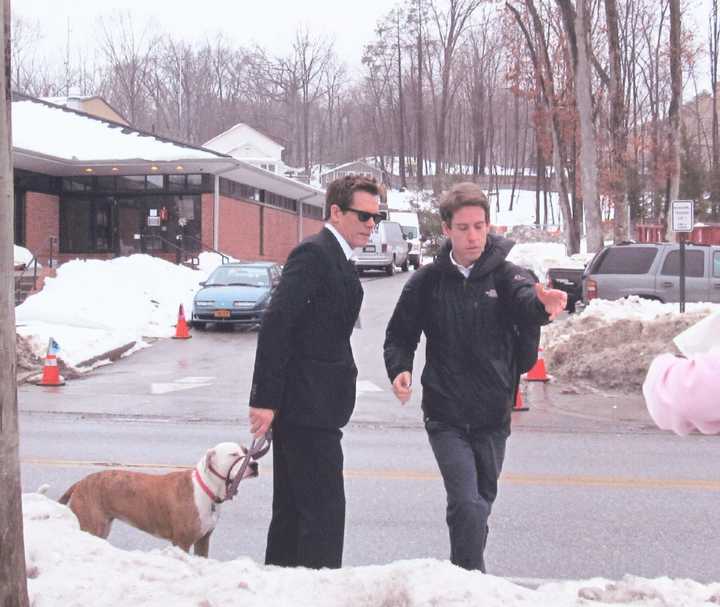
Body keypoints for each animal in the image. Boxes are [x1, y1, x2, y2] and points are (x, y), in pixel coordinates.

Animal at [58, 442, 258, 556]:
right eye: (233, 454)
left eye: (246, 451)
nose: (255, 464)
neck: (207, 488)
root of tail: (79, 483)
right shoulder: (182, 541)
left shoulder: (203, 540)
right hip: (91, 526)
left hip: (102, 526)